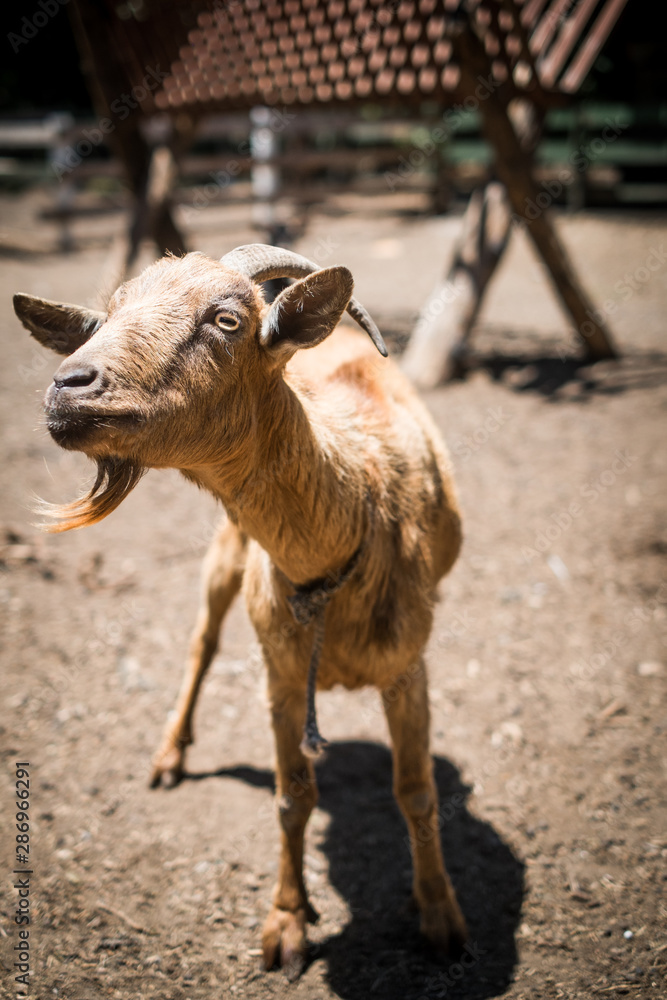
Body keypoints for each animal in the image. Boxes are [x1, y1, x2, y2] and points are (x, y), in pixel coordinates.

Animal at [14, 244, 467, 977]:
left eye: (227, 319)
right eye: (108, 312)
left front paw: (440, 918)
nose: (69, 385)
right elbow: (292, 796)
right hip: (226, 552)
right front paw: (287, 925)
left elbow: (417, 791)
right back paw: (169, 756)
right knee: (201, 642)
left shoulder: (408, 668)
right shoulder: (280, 675)